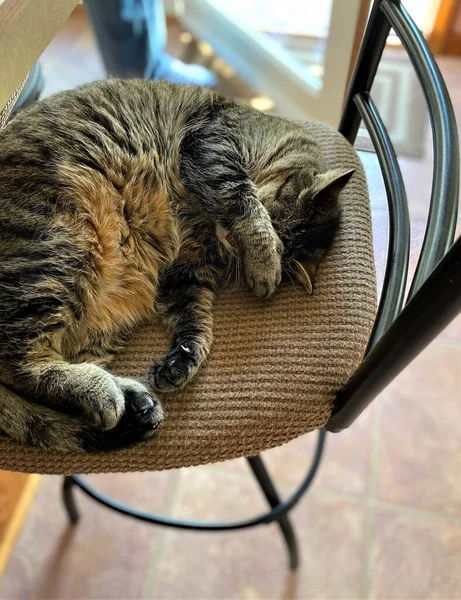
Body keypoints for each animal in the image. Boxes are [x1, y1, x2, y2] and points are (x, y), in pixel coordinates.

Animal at [0, 81, 352, 454]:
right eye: (273, 224)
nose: (227, 237)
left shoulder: (187, 273)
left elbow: (196, 323)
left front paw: (180, 362)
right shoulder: (213, 145)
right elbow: (244, 200)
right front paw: (265, 260)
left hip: (99, 317)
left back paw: (134, 404)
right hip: (62, 253)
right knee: (18, 364)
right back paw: (104, 392)